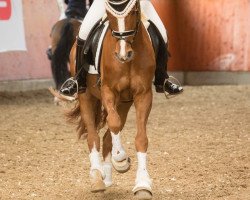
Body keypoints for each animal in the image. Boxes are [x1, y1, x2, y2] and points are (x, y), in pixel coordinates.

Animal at [66, 0, 155, 199]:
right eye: (109, 14)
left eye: (134, 11)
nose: (123, 54)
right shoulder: (108, 90)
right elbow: (113, 123)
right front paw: (120, 158)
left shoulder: (143, 95)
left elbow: (141, 139)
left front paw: (143, 184)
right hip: (86, 96)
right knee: (93, 137)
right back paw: (97, 177)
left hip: (124, 104)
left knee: (107, 137)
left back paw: (106, 177)